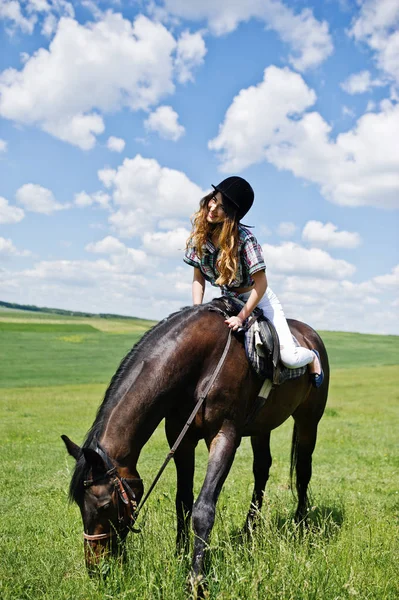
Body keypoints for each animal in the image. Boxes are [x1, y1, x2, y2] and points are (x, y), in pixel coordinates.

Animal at [62, 298, 330, 588]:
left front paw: (196, 578)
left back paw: (301, 524)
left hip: (309, 420)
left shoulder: (225, 436)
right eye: (79, 504)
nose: (96, 569)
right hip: (262, 427)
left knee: (303, 470)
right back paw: (249, 531)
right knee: (262, 470)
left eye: (103, 505)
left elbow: (203, 509)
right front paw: (179, 555)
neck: (200, 364)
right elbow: (183, 502)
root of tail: (311, 336)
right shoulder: (181, 438)